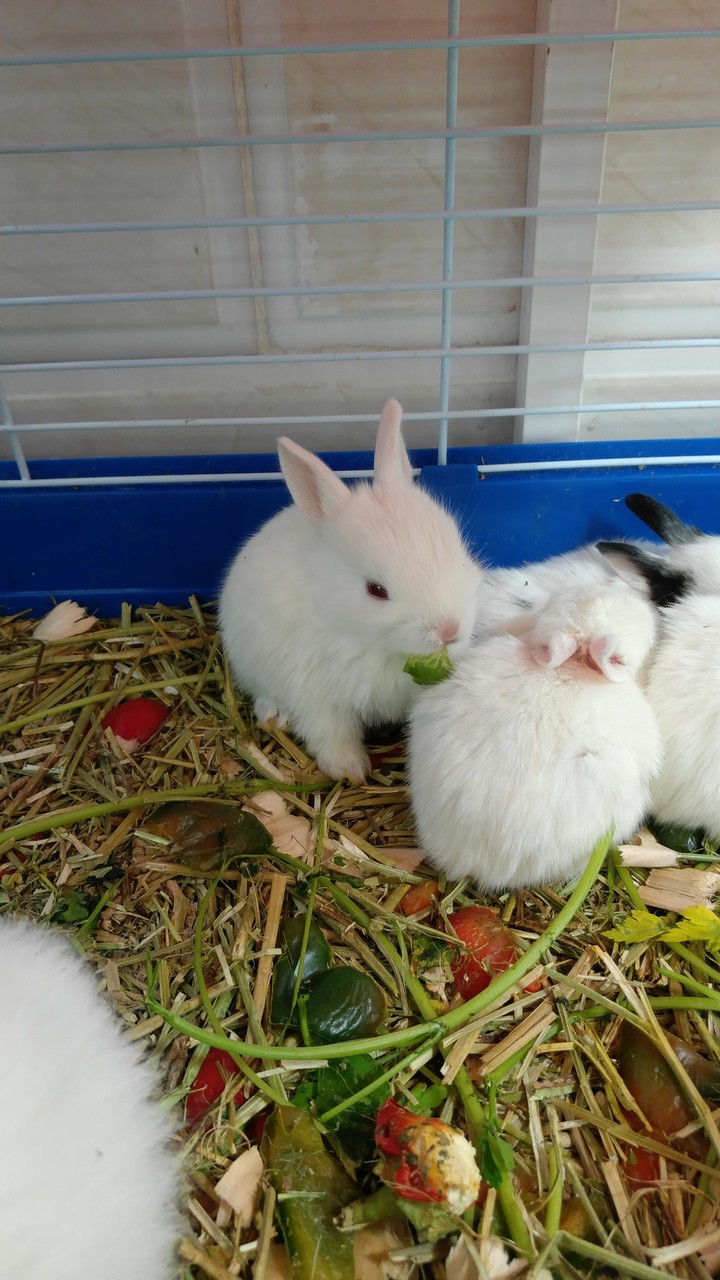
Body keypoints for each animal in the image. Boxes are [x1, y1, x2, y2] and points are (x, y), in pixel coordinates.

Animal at [218, 399, 483, 782]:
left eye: (458, 553)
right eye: (376, 590)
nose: (449, 631)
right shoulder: (316, 696)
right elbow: (331, 733)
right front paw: (350, 770)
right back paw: (273, 715)